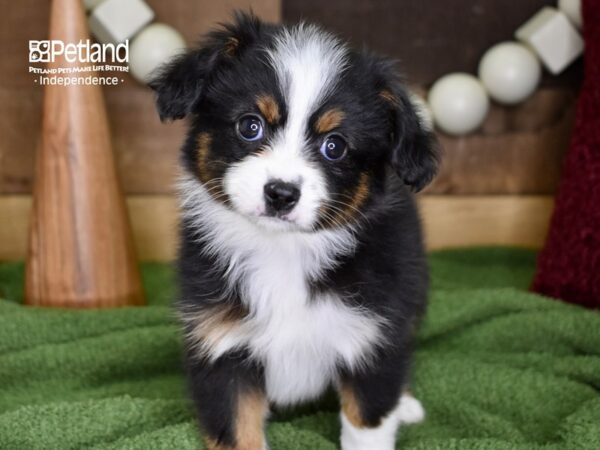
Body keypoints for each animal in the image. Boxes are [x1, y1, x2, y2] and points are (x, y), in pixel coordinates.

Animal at [150, 10, 438, 450]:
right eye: (250, 126)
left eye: (335, 146)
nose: (281, 193)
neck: (283, 251)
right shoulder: (220, 344)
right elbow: (237, 430)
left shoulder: (372, 334)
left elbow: (367, 420)